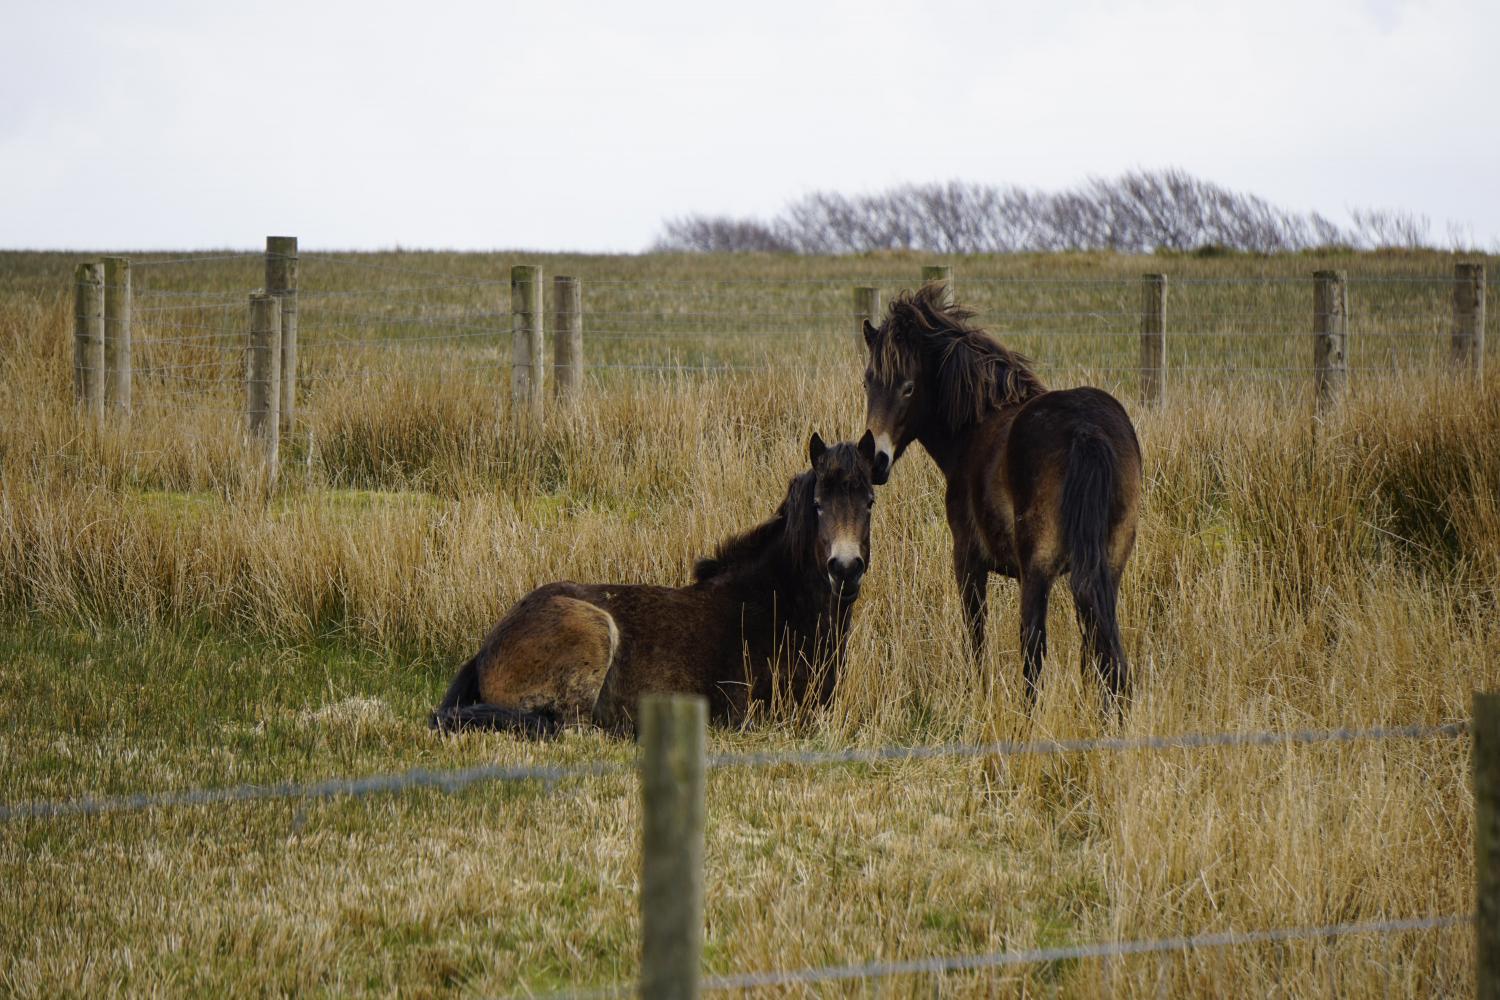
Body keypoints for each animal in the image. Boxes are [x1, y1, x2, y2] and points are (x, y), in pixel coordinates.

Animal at [432, 431, 876, 734]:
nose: (845, 569)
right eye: (818, 506)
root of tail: (486, 649)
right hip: (594, 636)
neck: (776, 604)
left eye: (869, 502)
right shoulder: (756, 712)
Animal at [864, 284, 1140, 707]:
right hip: (1108, 566)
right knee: (1102, 648)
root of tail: (1085, 430)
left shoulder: (967, 559)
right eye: (868, 383)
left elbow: (975, 636)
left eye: (907, 387)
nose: (875, 460)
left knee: (1034, 648)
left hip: (1037, 572)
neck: (978, 426)